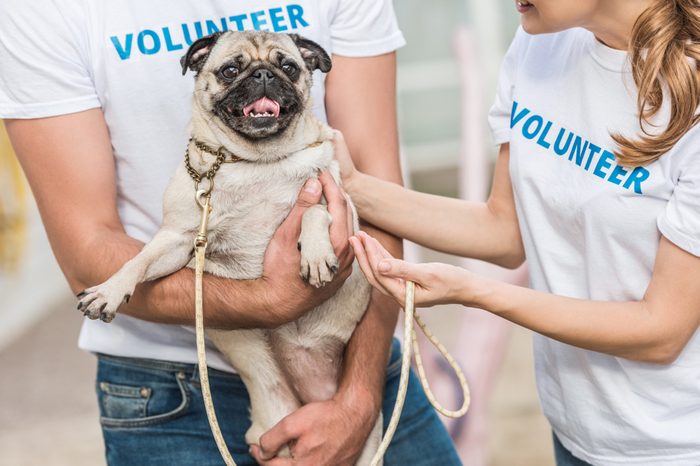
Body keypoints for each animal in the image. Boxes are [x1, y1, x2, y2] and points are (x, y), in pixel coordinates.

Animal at [76, 31, 380, 464]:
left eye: (289, 67)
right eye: (231, 70)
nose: (264, 74)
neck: (256, 163)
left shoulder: (340, 206)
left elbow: (314, 211)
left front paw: (317, 252)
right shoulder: (177, 238)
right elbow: (140, 260)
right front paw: (109, 290)